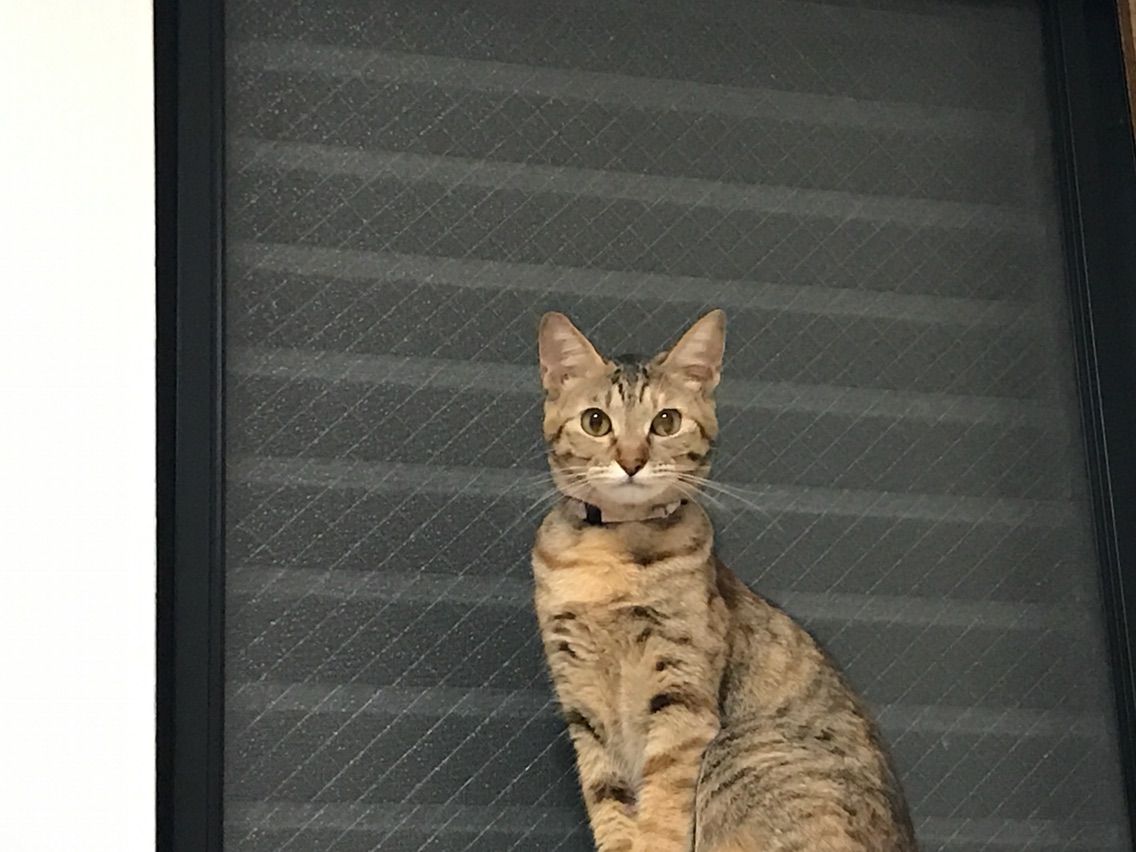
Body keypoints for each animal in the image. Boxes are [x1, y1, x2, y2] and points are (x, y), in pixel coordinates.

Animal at [531, 310, 917, 852]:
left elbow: (661, 811)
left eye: (666, 421)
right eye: (595, 421)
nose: (632, 461)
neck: (613, 558)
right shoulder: (583, 704)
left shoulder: (682, 694)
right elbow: (610, 807)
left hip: (736, 748)